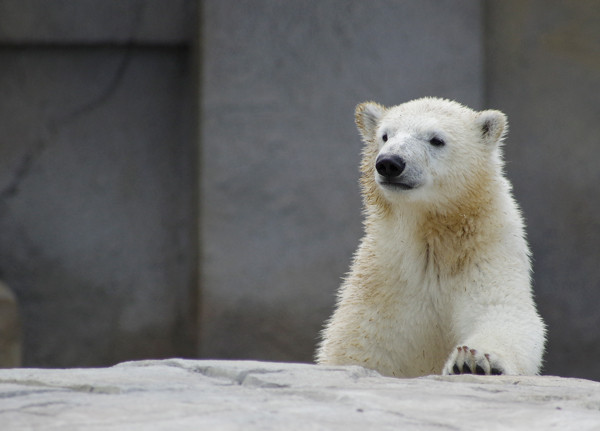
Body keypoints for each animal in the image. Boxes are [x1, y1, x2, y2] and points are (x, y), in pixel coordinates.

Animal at [316, 96, 548, 376]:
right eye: (385, 135)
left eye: (436, 139)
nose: (390, 163)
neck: (431, 235)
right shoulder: (383, 277)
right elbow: (356, 341)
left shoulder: (487, 252)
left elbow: (502, 312)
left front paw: (473, 362)